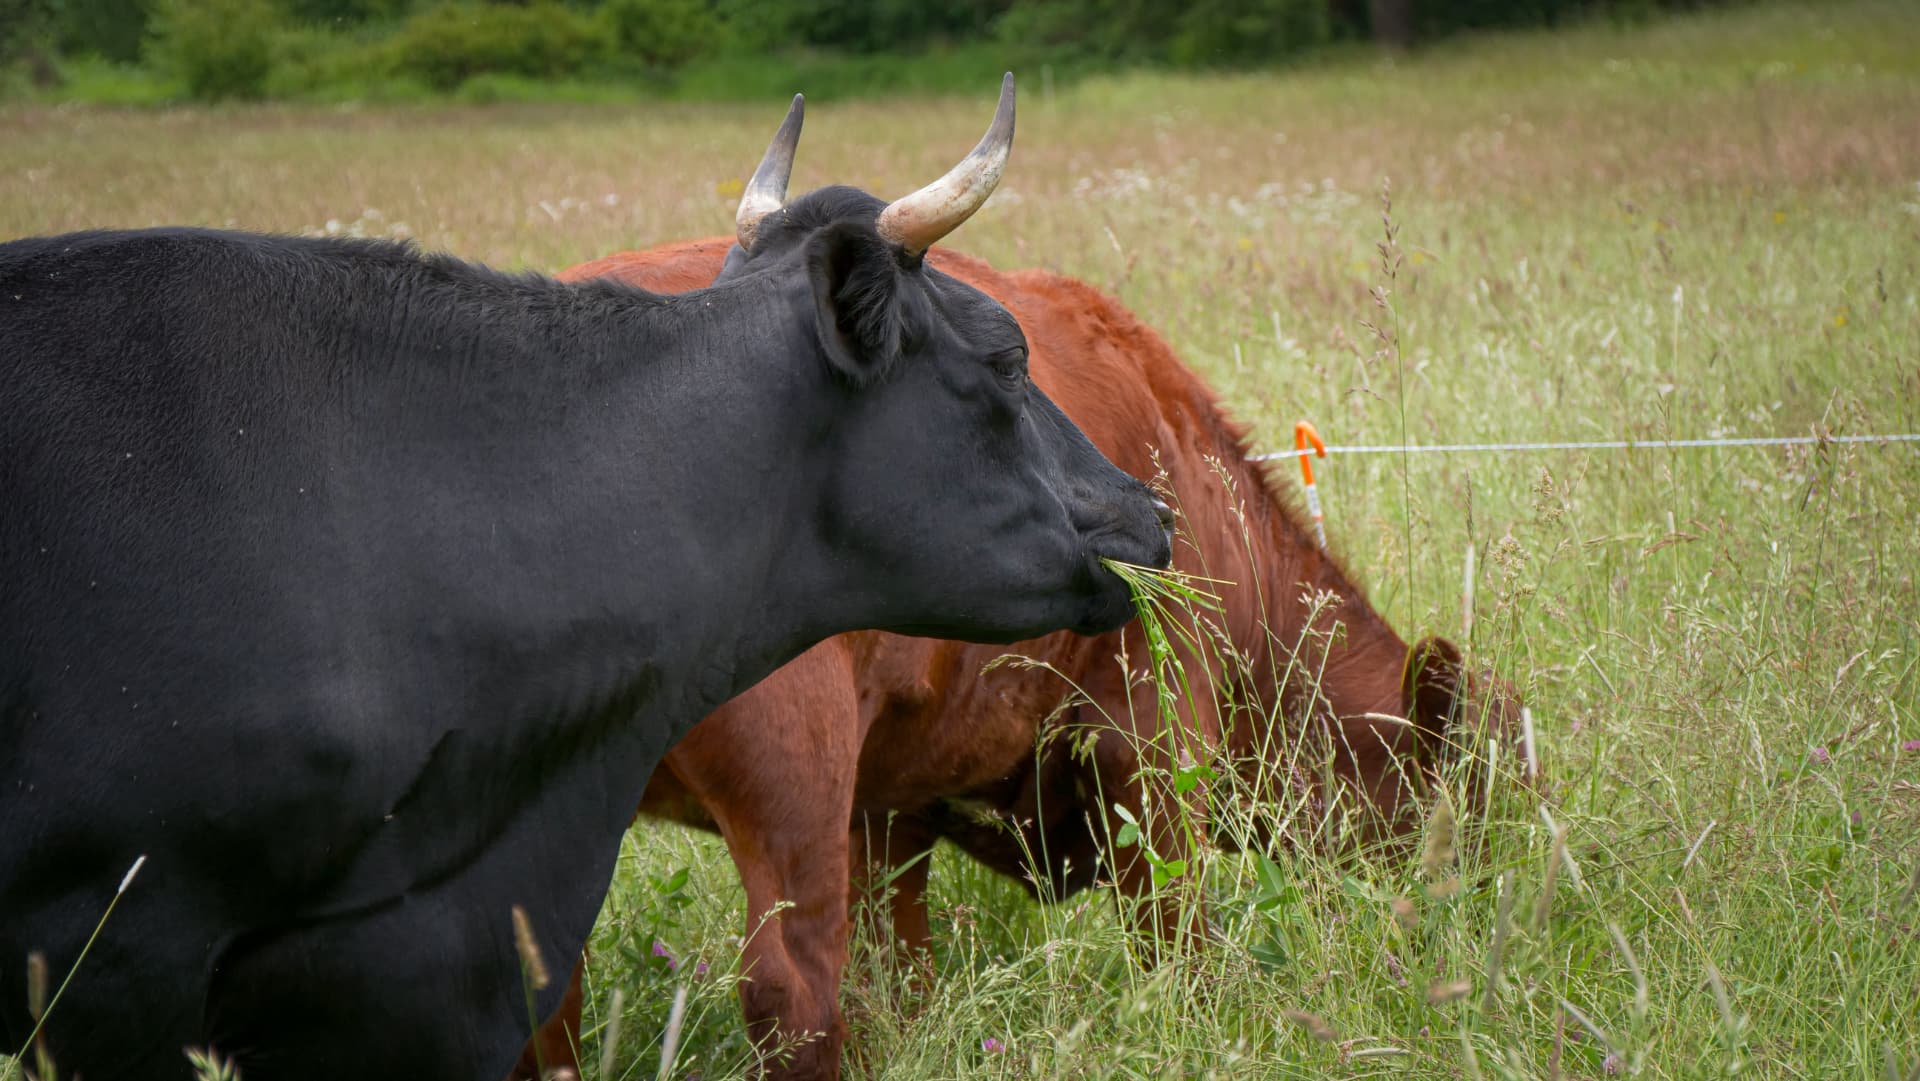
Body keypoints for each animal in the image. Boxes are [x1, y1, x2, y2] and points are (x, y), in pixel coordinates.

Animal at [525, 238, 1524, 1077]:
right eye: (1472, 800)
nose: (1488, 931)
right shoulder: (1153, 737)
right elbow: (1178, 936)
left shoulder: (886, 799)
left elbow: (901, 970)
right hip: (790, 775)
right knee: (789, 992)